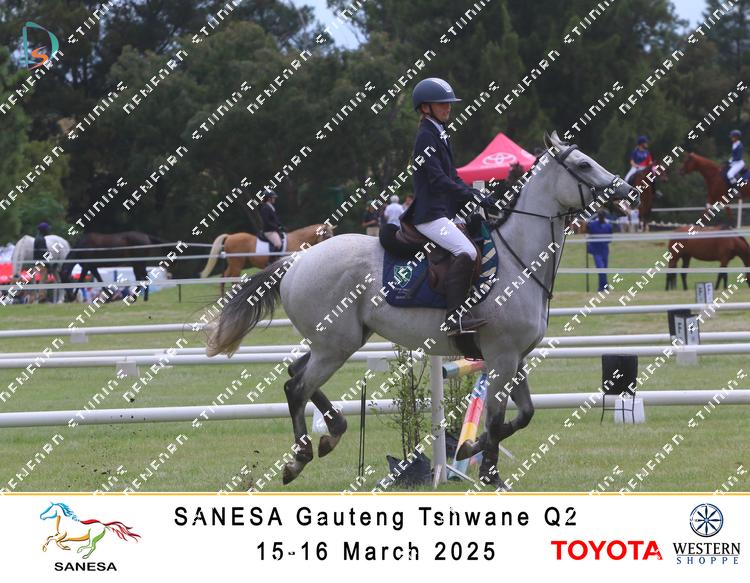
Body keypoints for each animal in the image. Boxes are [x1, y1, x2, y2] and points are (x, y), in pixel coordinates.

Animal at [199, 224, 335, 294]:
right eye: (327, 236)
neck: (298, 240)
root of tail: (230, 236)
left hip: (235, 264)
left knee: (224, 277)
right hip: (237, 264)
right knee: (232, 278)